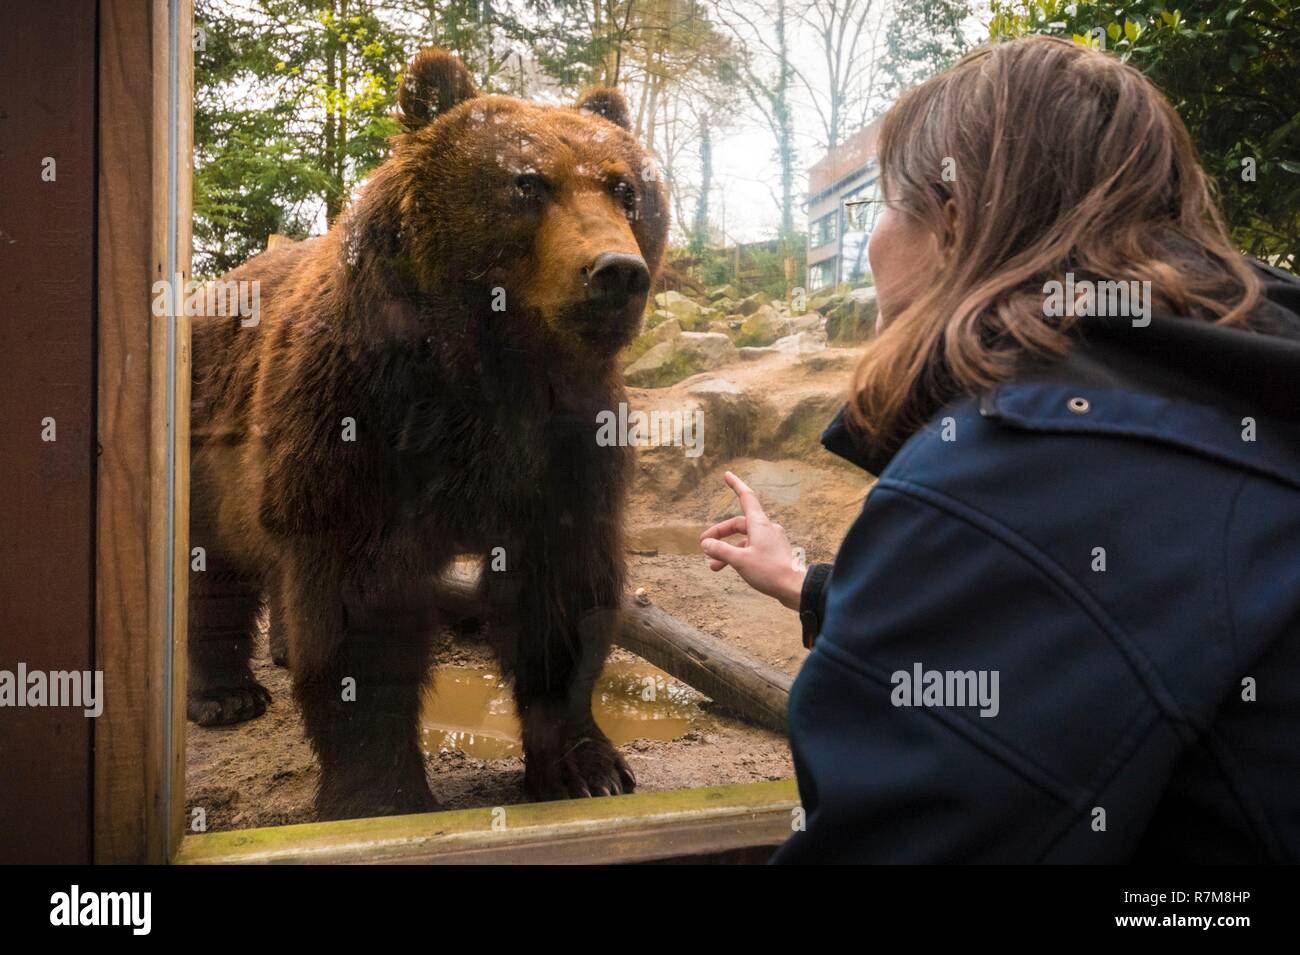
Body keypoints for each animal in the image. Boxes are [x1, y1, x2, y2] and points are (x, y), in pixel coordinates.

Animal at [188, 46, 670, 821]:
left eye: (625, 190)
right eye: (527, 182)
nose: (616, 272)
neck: (487, 364)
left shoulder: (566, 437)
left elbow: (561, 591)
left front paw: (585, 766)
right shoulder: (365, 421)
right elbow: (362, 613)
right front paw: (379, 794)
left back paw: (285, 649)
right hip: (213, 436)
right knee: (214, 564)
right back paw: (226, 695)